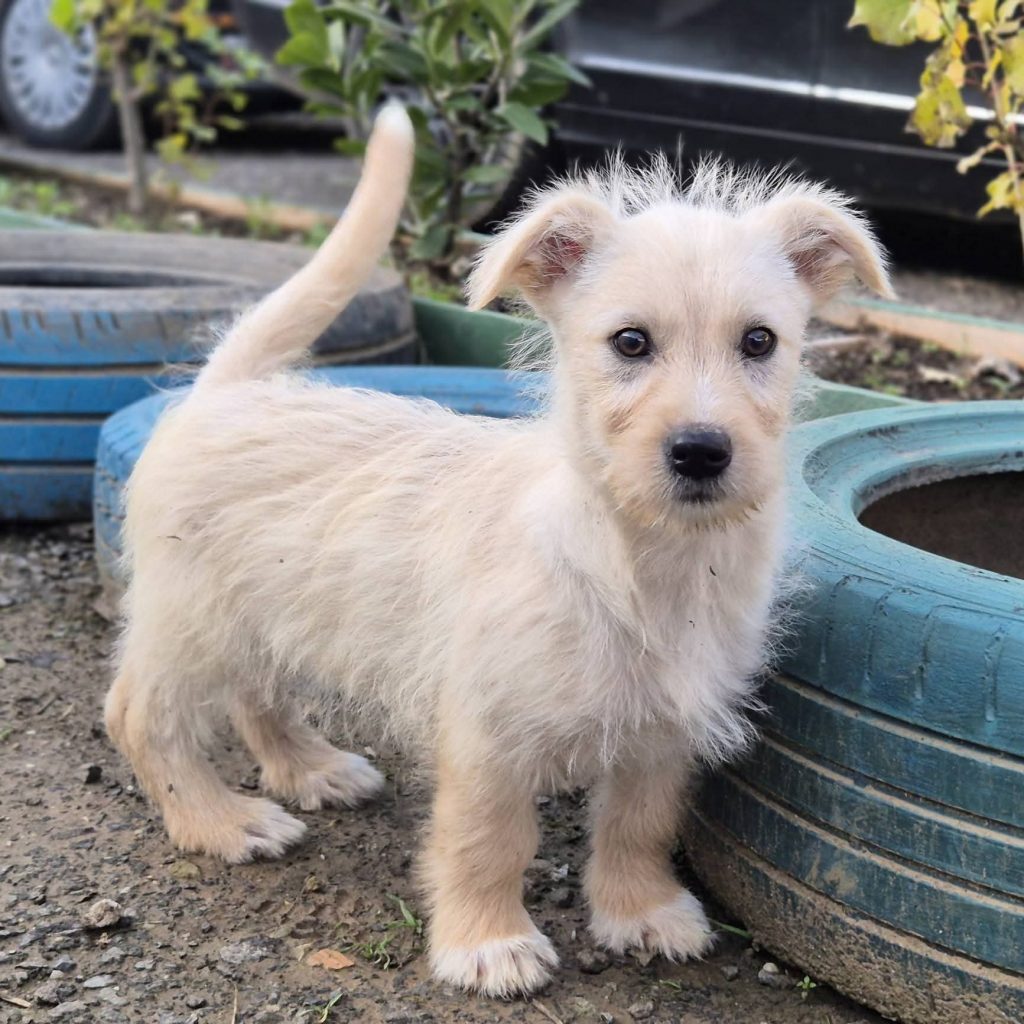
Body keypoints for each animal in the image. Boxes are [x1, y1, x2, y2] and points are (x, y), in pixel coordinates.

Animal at [104, 104, 891, 997]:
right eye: (630, 343)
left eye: (760, 342)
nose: (700, 451)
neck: (641, 562)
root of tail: (227, 390)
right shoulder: (489, 738)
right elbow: (487, 841)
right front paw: (487, 943)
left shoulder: (662, 732)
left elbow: (639, 824)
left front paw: (642, 911)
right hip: (190, 620)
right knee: (141, 716)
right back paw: (220, 820)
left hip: (264, 611)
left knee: (256, 694)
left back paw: (310, 770)